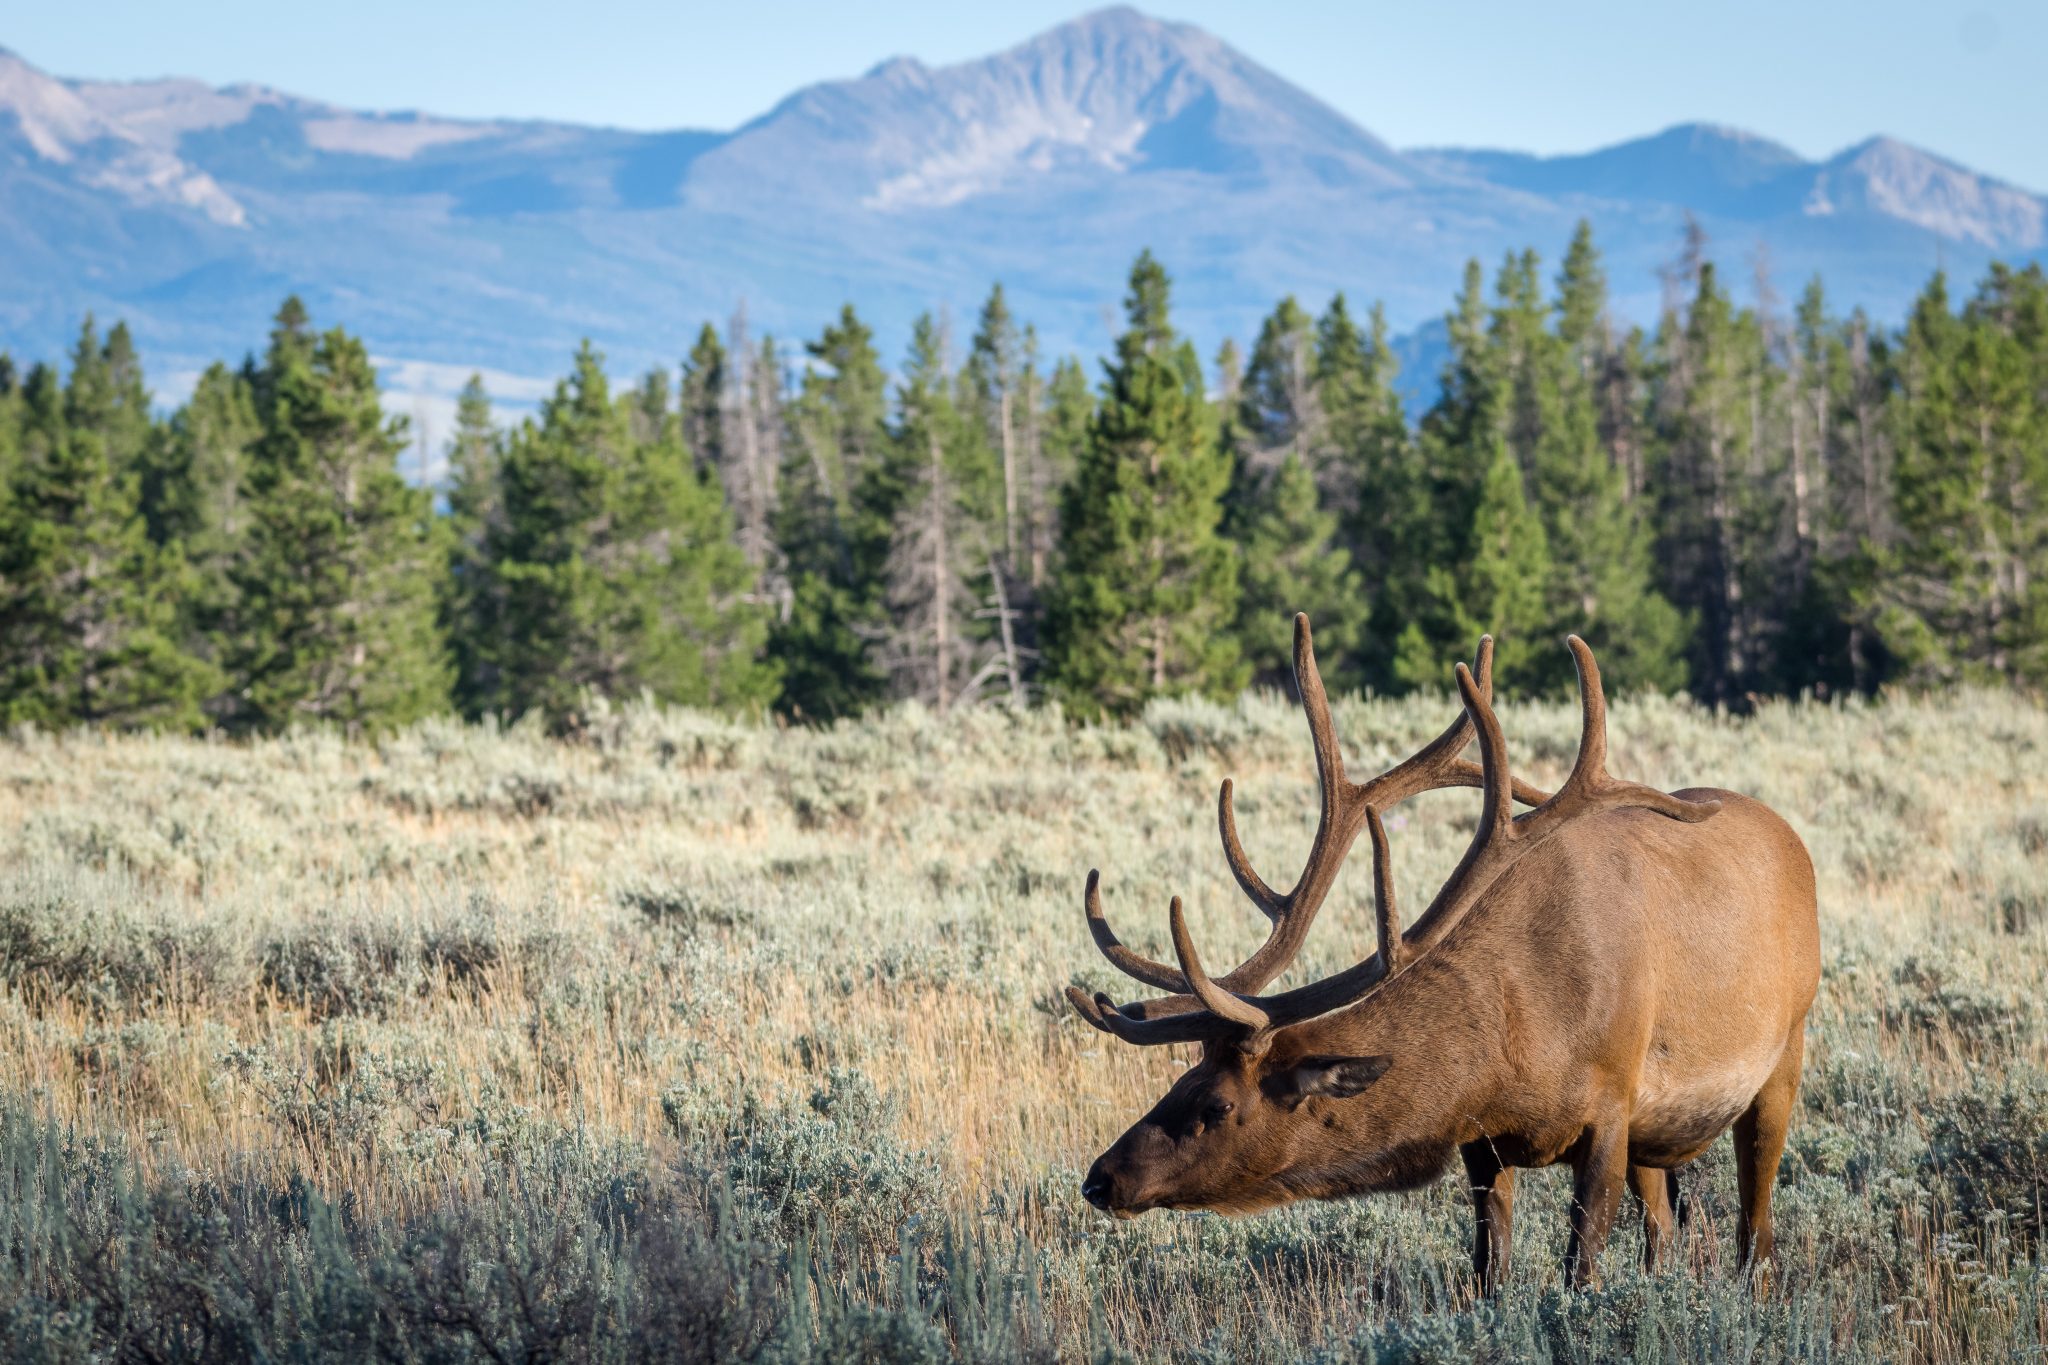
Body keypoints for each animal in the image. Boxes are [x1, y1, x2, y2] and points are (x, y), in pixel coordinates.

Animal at [1064, 618, 1818, 1293]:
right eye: (1179, 1079)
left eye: (1218, 1104)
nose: (1101, 1177)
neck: (1515, 1044)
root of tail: (1788, 834)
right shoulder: (1482, 1139)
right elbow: (1489, 1270)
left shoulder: (1610, 1107)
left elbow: (1580, 1271)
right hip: (1659, 1135)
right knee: (1665, 1234)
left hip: (1783, 1054)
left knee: (1757, 1235)